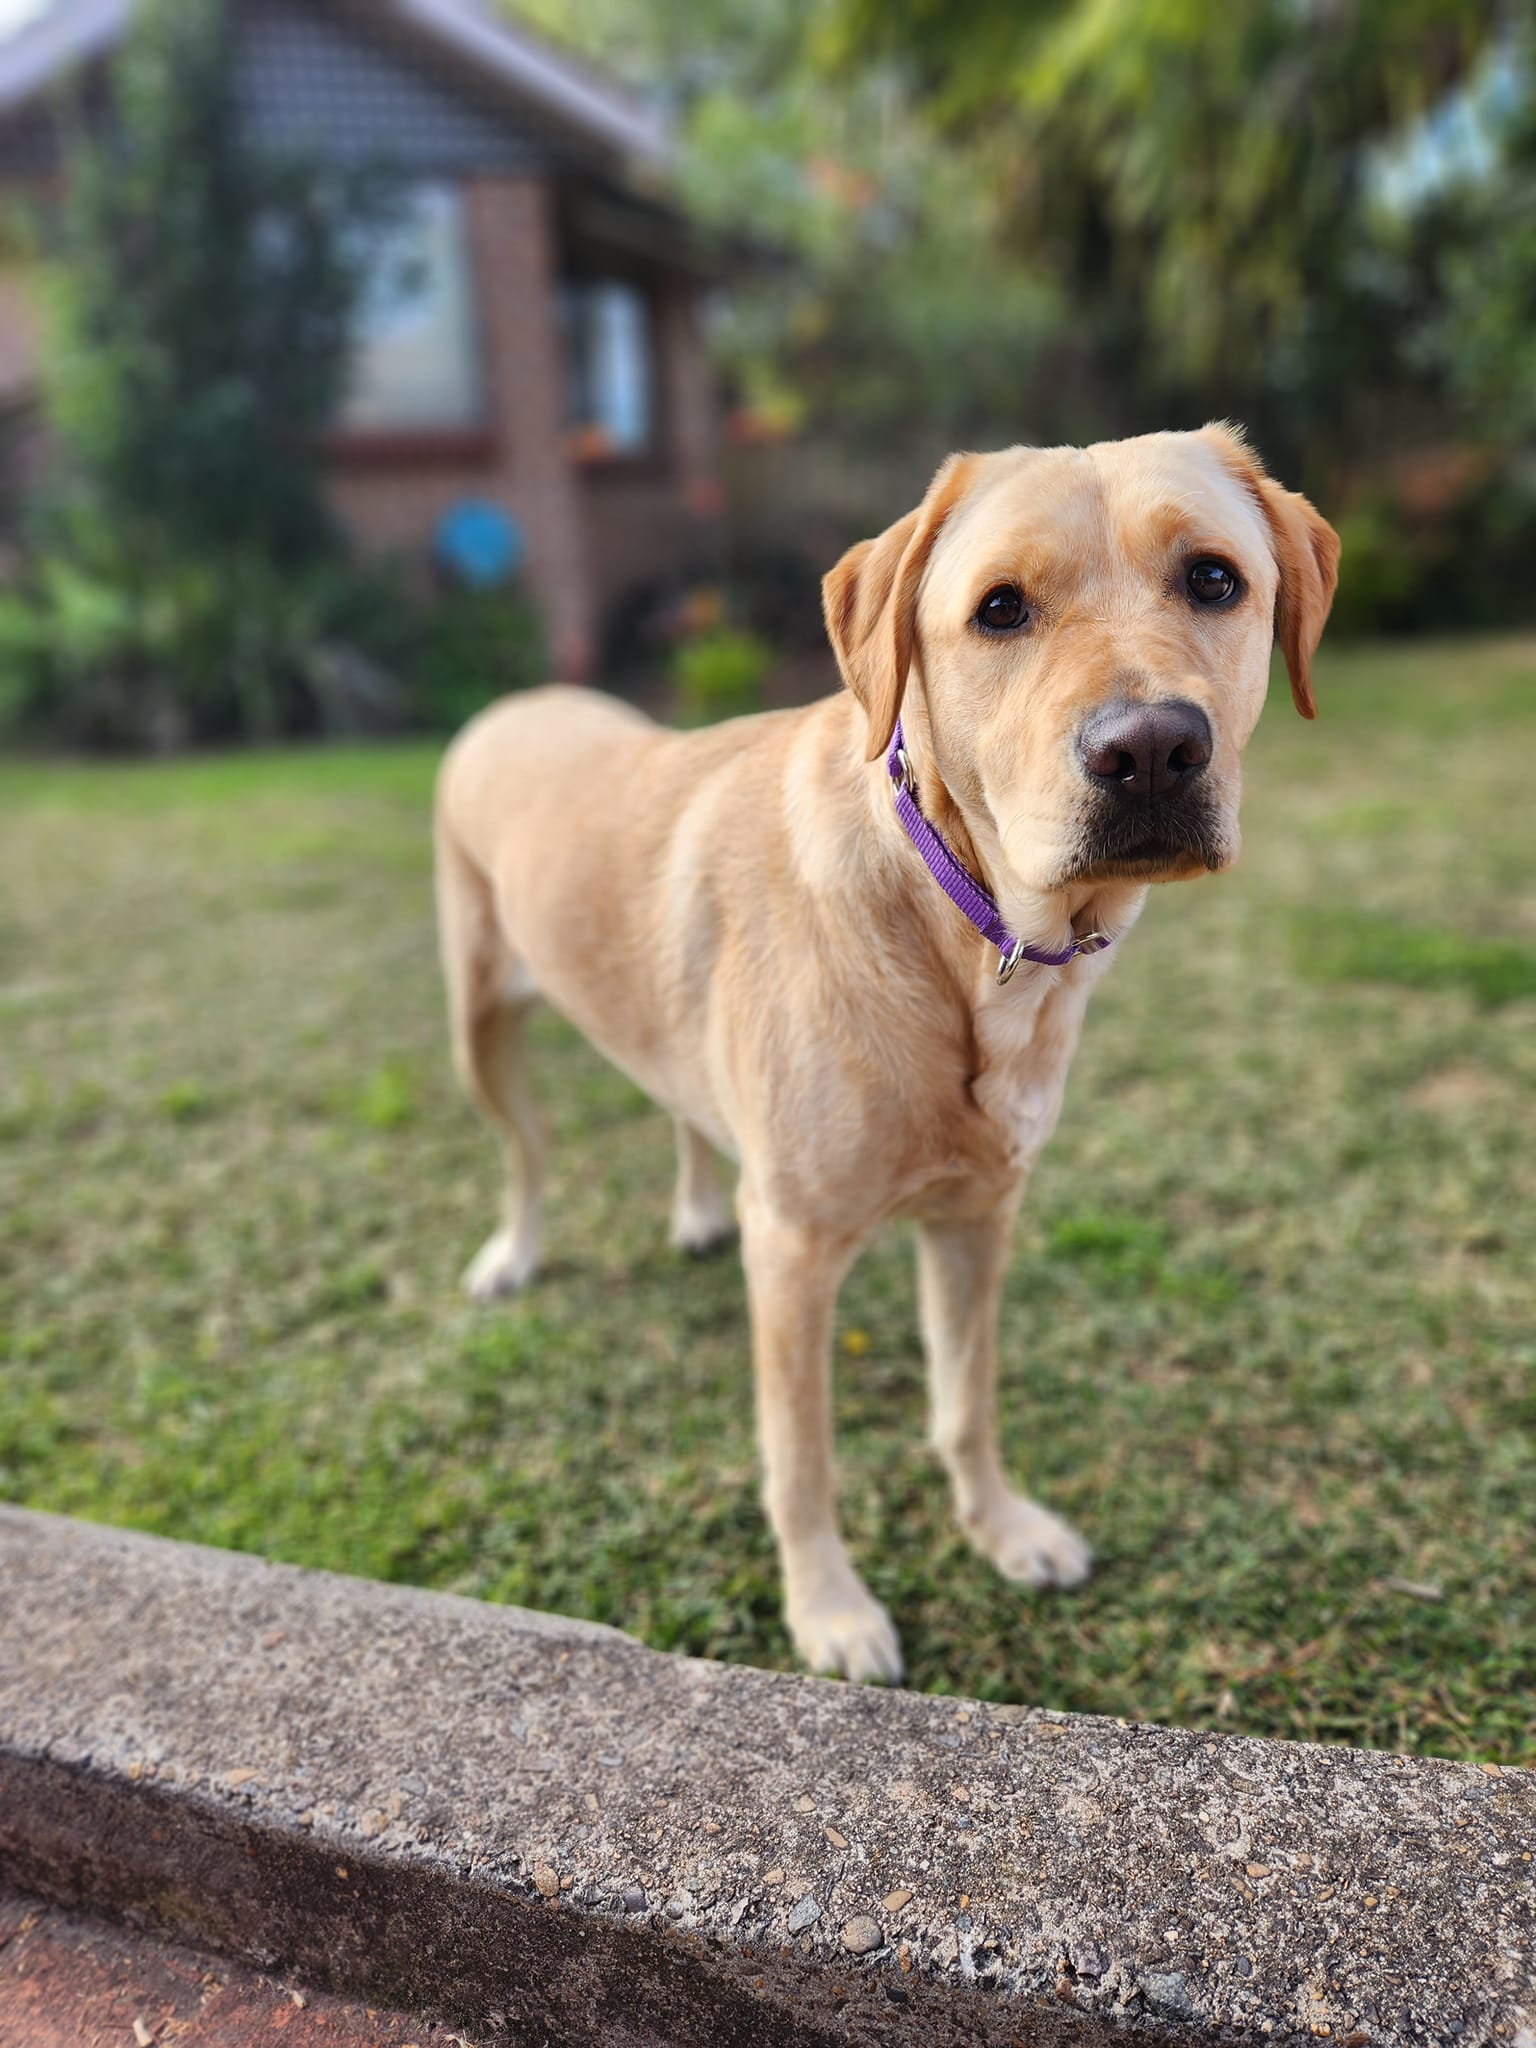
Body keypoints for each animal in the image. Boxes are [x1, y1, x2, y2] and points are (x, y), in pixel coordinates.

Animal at [436, 428, 1343, 1679]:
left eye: (1214, 579)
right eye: (1000, 608)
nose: (1152, 748)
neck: (956, 917)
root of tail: (517, 698)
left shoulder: (977, 1217)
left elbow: (965, 1402)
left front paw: (1000, 1527)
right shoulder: (795, 1250)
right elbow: (801, 1460)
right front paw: (828, 1608)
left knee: (679, 1104)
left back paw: (694, 1208)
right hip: (478, 1021)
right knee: (524, 1153)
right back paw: (512, 1255)